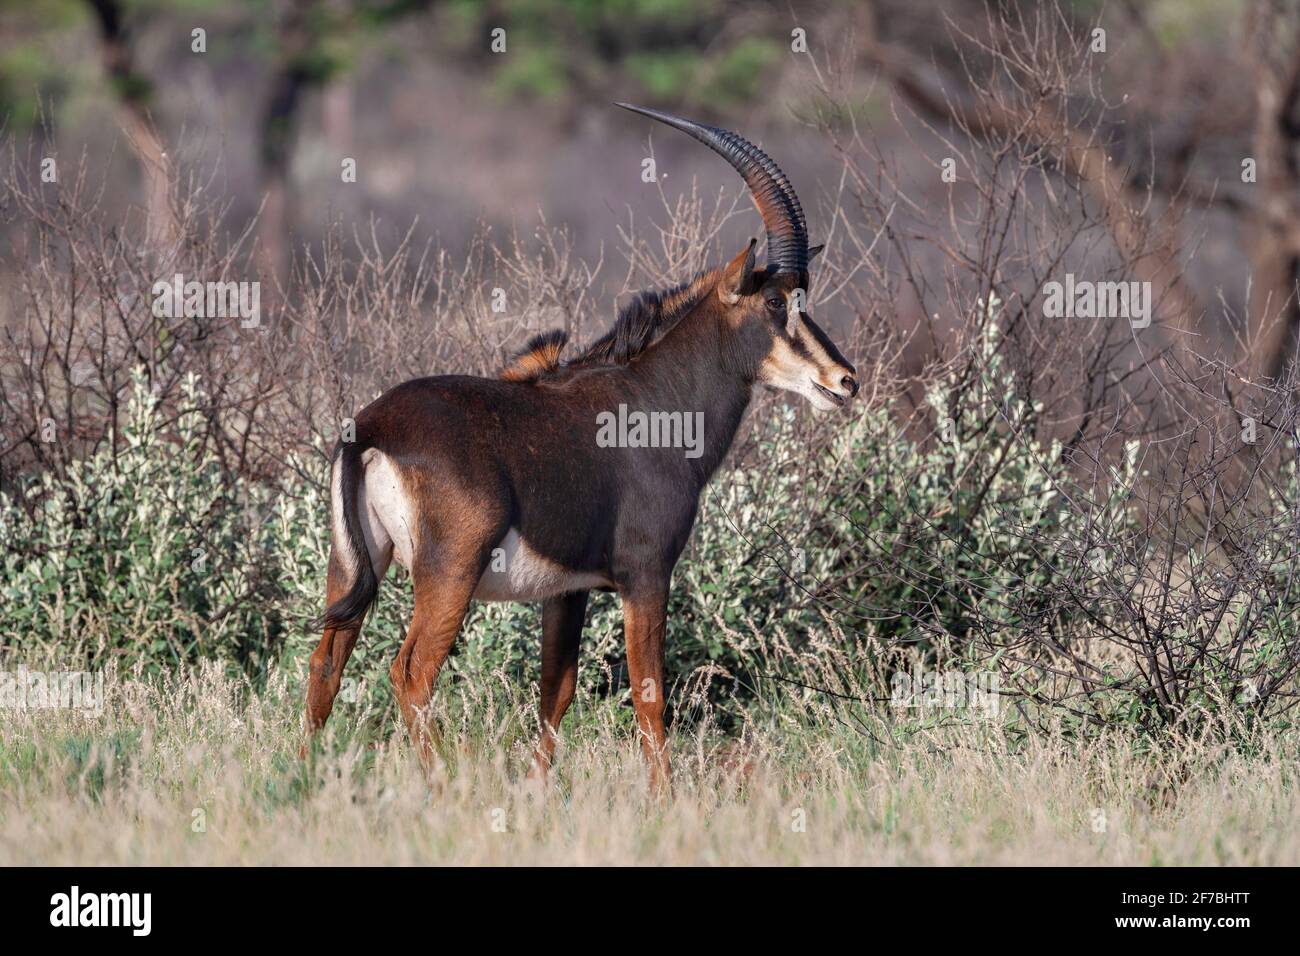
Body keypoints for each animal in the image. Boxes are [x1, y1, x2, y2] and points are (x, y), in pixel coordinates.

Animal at [299, 104, 857, 790]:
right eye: (777, 300)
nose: (845, 381)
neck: (653, 400)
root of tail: (372, 428)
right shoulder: (646, 573)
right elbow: (649, 692)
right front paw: (664, 797)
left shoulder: (567, 591)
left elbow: (555, 692)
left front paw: (540, 790)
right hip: (449, 573)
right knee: (411, 674)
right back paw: (443, 782)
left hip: (355, 564)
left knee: (327, 663)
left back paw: (301, 775)